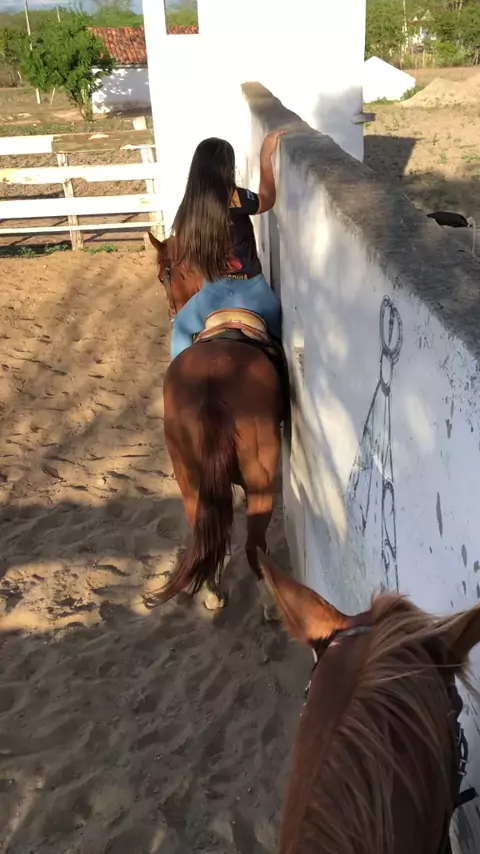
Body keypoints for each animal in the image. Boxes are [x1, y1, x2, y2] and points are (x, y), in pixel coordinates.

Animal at [145, 234, 288, 611]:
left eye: (164, 277)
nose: (171, 314)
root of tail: (212, 383)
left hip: (189, 477)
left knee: (207, 531)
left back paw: (212, 590)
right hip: (259, 480)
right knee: (253, 546)